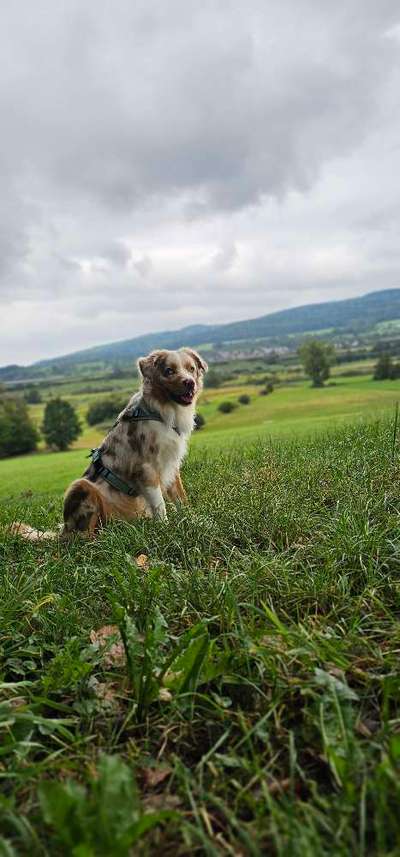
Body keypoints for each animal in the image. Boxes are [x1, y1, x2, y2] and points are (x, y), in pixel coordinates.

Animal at [11, 346, 208, 536]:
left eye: (191, 369)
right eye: (169, 371)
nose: (189, 382)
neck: (161, 412)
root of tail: (63, 532)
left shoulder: (171, 465)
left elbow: (181, 499)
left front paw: (195, 521)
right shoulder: (147, 470)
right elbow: (160, 505)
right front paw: (166, 529)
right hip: (81, 486)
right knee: (82, 537)